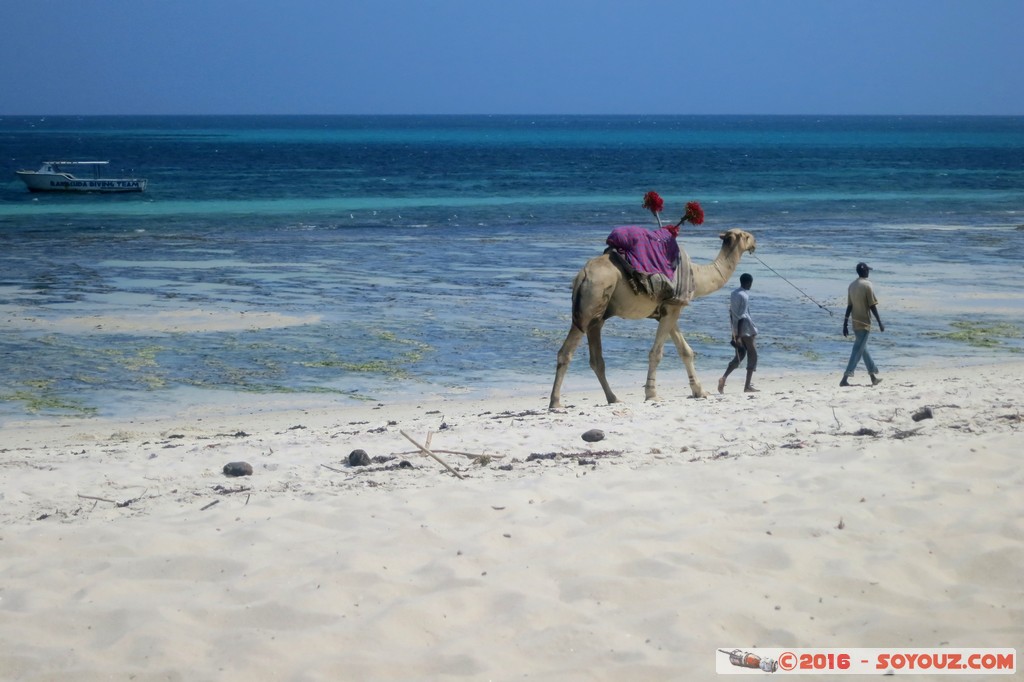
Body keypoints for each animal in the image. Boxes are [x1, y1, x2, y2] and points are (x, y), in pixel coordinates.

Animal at [548, 228, 757, 409]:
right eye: (746, 236)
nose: (755, 242)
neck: (697, 276)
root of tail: (582, 275)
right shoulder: (673, 307)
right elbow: (656, 353)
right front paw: (652, 394)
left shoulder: (668, 310)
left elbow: (685, 351)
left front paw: (700, 392)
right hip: (590, 304)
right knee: (566, 352)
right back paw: (556, 402)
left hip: (597, 316)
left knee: (596, 359)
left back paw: (613, 398)